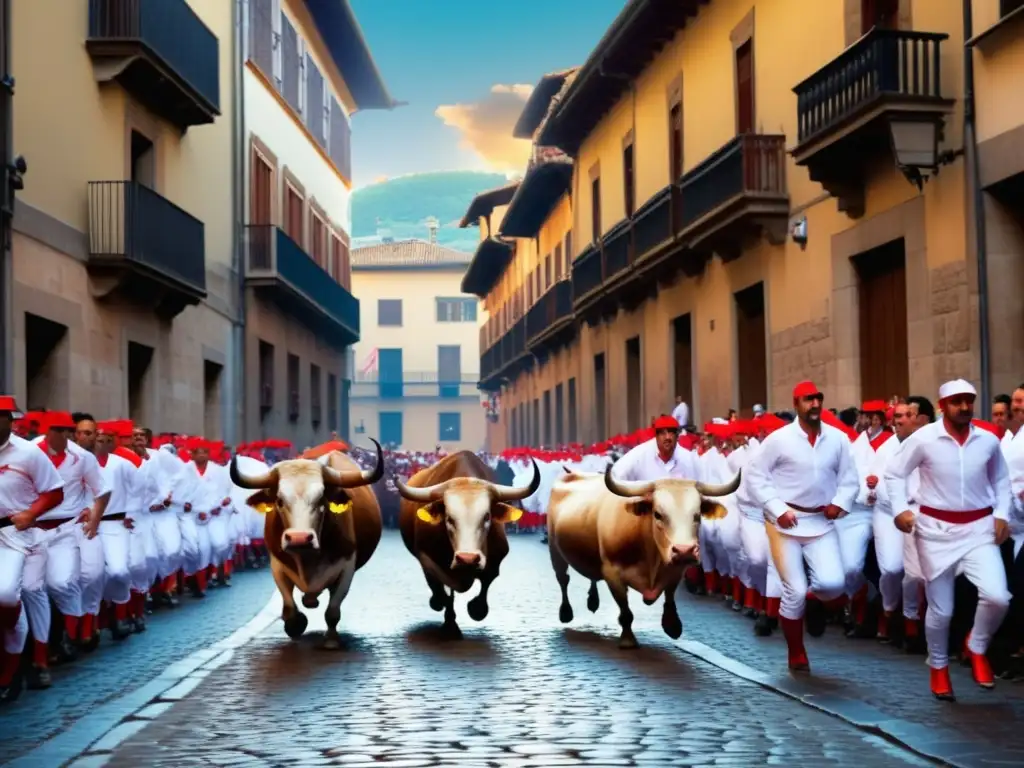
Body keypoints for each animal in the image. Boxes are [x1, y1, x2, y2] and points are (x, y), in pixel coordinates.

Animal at [391, 450, 540, 638]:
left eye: (487, 516)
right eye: (449, 518)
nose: (467, 558)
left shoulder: (497, 557)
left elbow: (487, 579)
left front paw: (476, 608)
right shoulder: (425, 556)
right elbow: (442, 584)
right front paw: (447, 618)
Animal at [548, 466, 741, 651]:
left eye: (697, 515)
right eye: (657, 514)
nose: (684, 550)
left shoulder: (677, 570)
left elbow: (670, 596)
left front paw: (672, 626)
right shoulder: (612, 574)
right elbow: (626, 612)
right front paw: (628, 640)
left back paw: (592, 601)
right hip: (555, 551)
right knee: (563, 579)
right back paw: (565, 613)